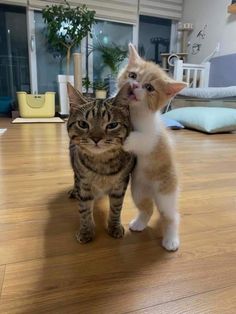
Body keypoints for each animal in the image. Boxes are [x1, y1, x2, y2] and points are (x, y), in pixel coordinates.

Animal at [66, 83, 135, 243]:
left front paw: (114, 226)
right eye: (82, 124)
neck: (102, 162)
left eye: (113, 125)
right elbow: (84, 209)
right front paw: (86, 231)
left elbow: (116, 207)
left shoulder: (121, 184)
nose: (96, 138)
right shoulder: (83, 183)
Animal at [118, 44, 186, 251]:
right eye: (132, 75)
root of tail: (152, 192)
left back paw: (171, 239)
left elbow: (142, 139)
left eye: (149, 88)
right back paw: (139, 223)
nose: (135, 85)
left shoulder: (152, 137)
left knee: (171, 216)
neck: (134, 113)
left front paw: (127, 140)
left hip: (166, 192)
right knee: (147, 208)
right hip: (138, 190)